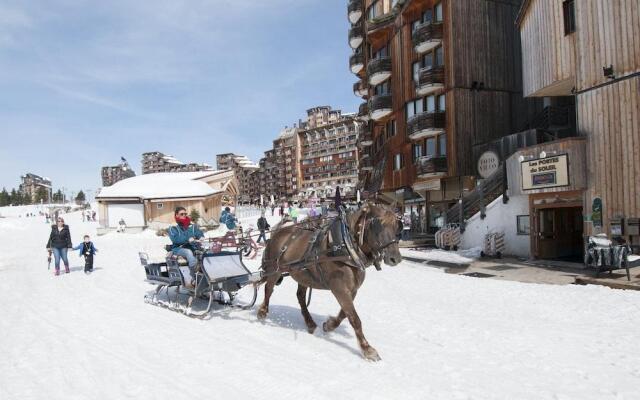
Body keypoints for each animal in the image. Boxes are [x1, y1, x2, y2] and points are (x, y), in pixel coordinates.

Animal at [255, 203, 400, 362]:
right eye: (378, 224)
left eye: (397, 225)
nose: (395, 258)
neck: (346, 246)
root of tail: (278, 232)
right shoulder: (339, 288)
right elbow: (354, 318)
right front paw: (367, 349)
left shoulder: (352, 289)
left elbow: (345, 314)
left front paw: (329, 325)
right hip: (274, 270)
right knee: (269, 289)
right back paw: (262, 311)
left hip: (303, 274)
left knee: (300, 296)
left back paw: (310, 323)